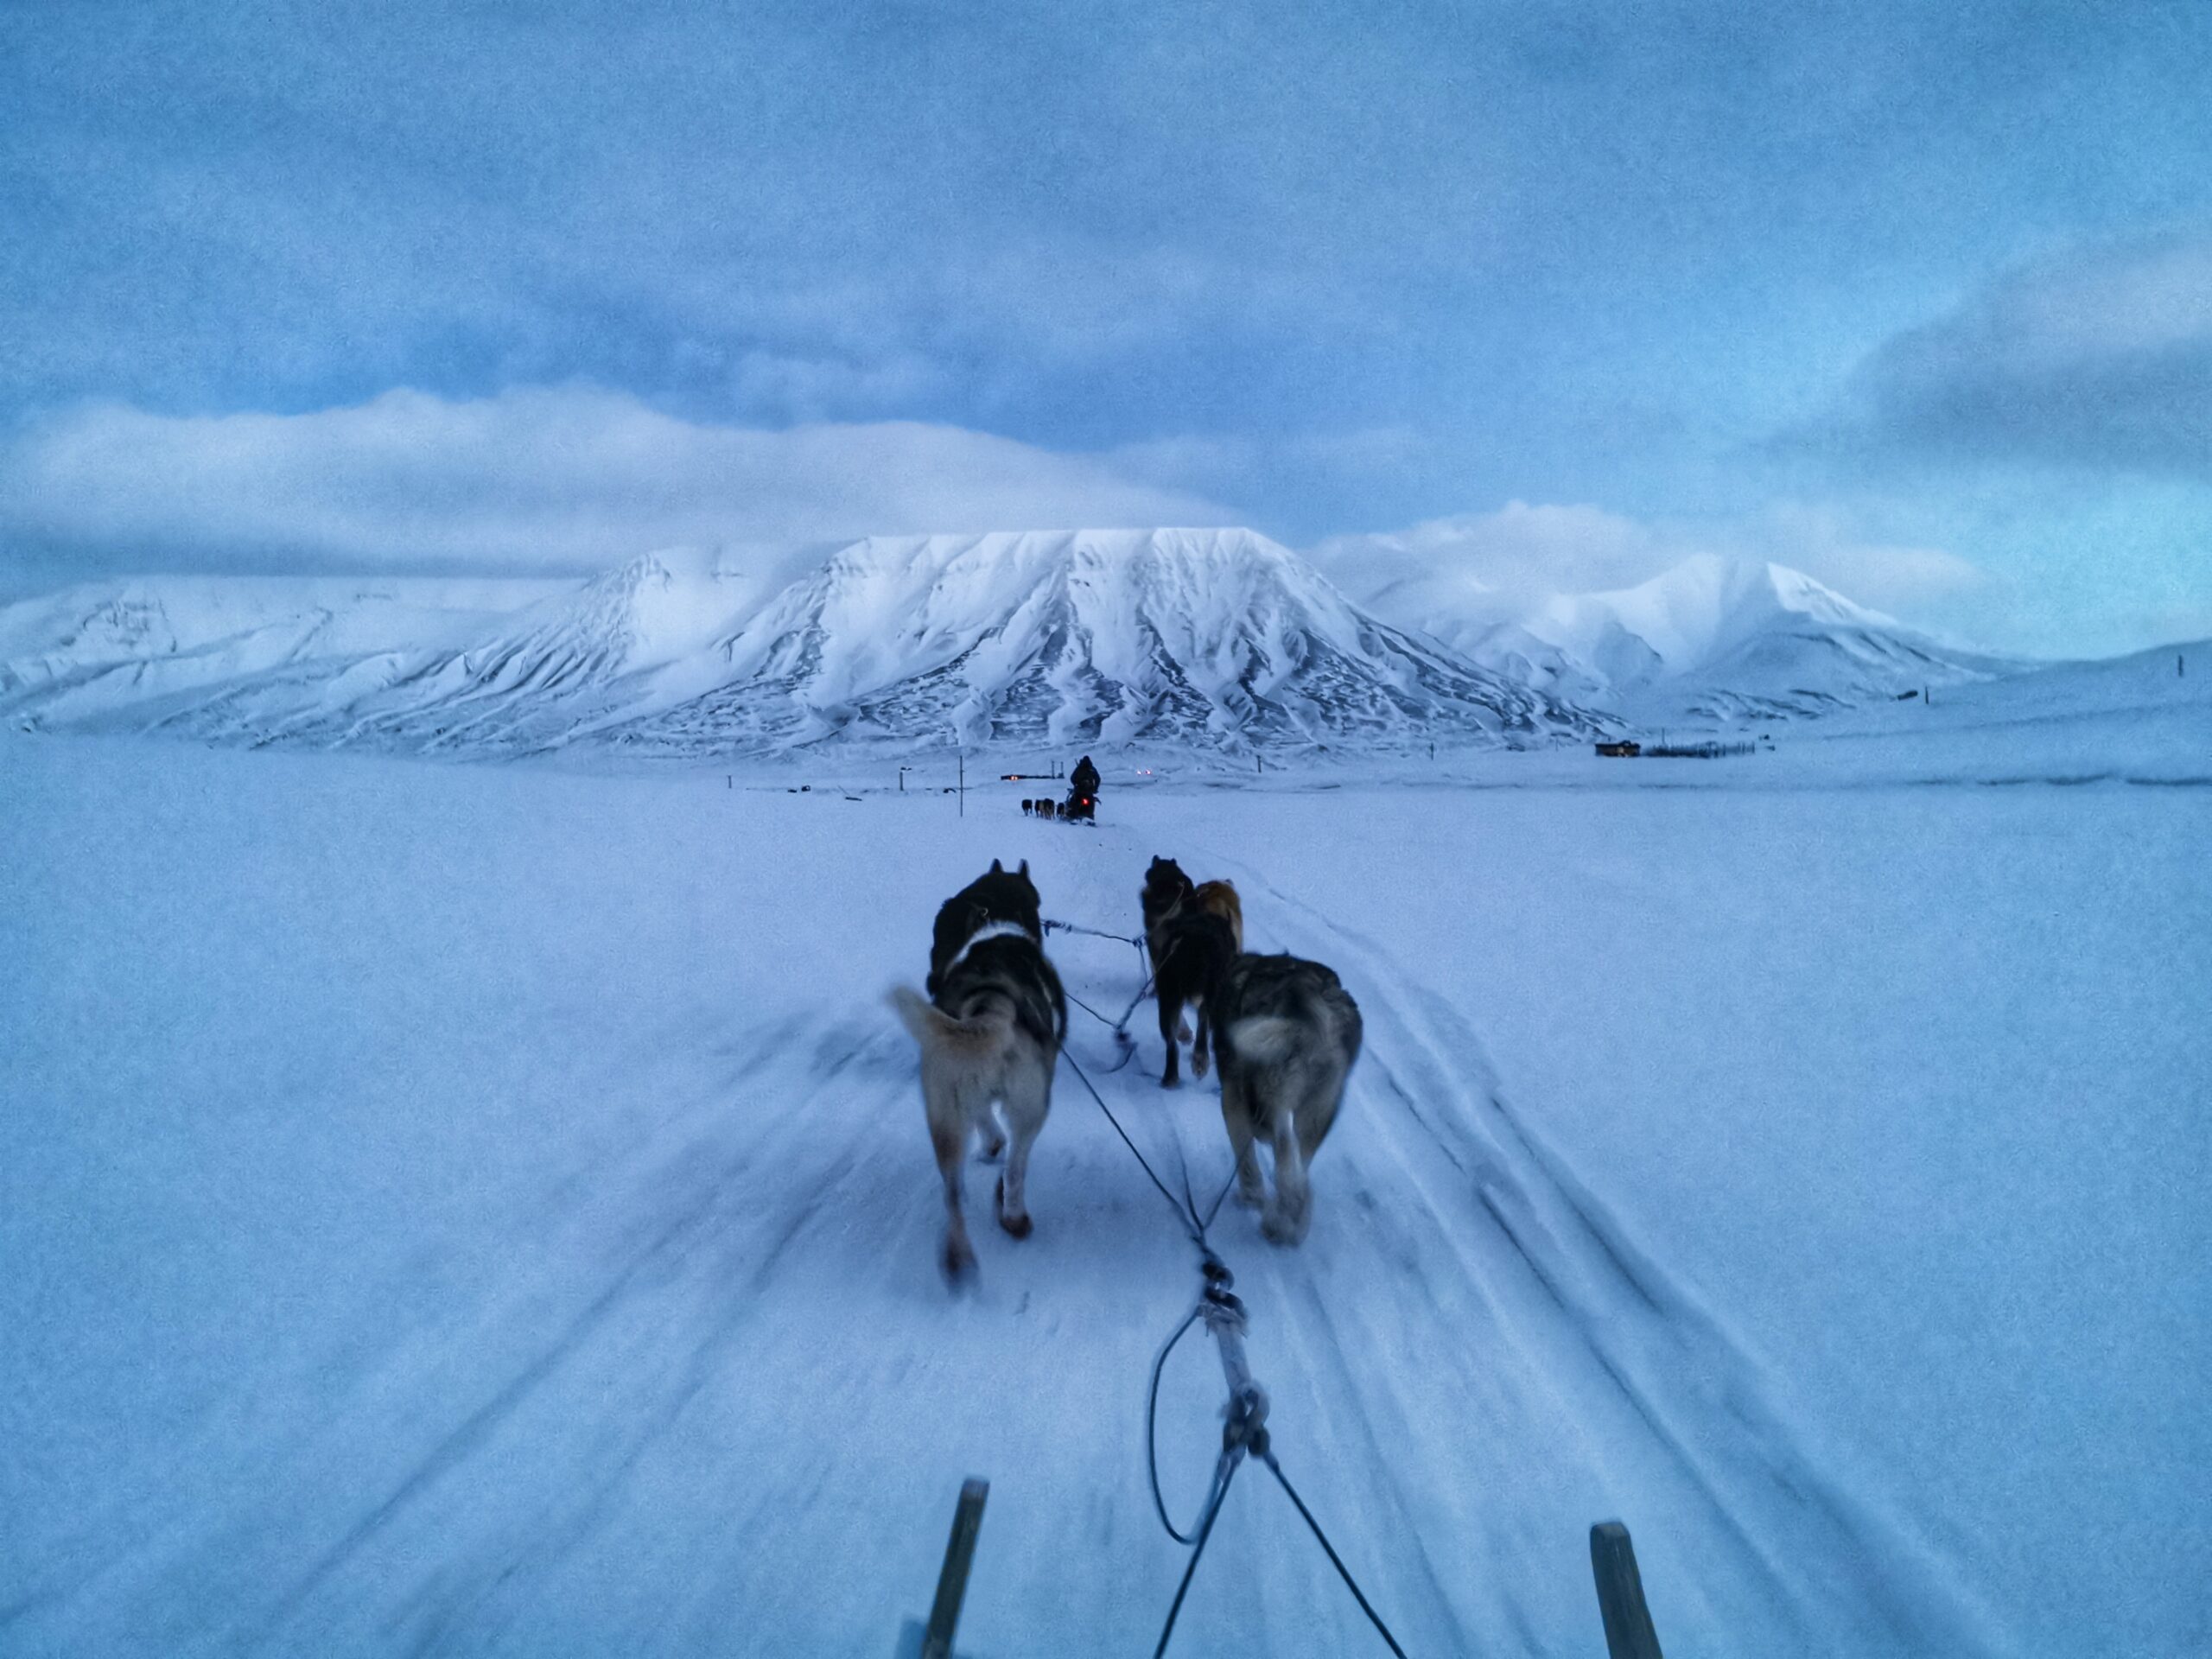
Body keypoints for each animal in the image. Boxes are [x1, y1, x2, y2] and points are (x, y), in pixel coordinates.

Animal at [1221, 955, 1353, 1238]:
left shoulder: (1234, 1103)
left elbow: (1246, 1160)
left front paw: (1251, 1196)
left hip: (1276, 1092)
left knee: (1285, 1152)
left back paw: (1280, 1218)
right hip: (1316, 1112)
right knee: (1300, 1167)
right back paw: (1290, 1219)